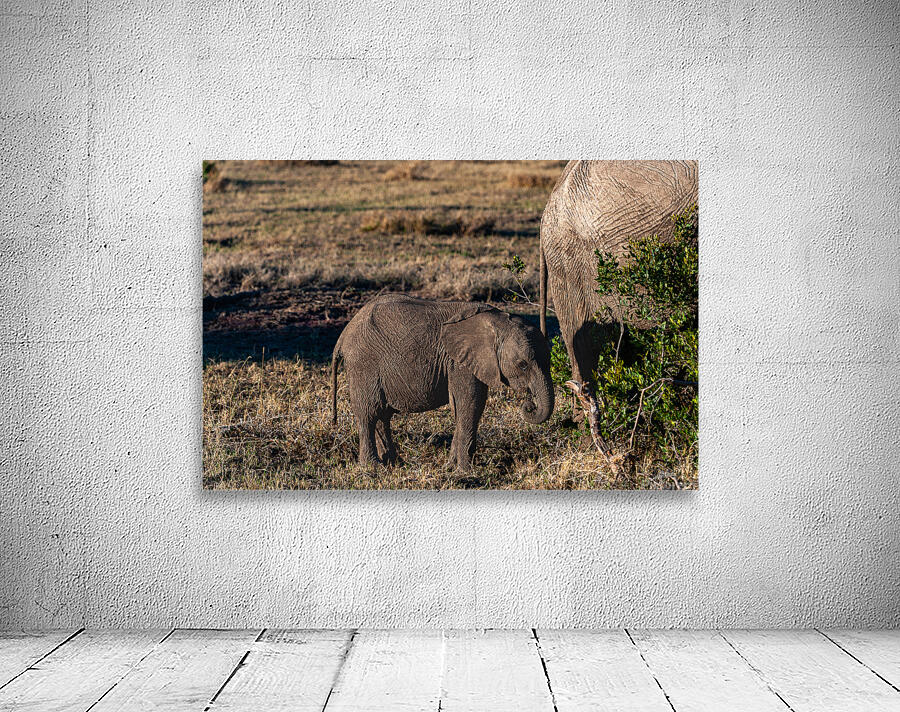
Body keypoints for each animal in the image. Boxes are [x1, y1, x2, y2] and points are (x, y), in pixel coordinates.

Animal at [331, 293, 554, 471]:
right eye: (523, 365)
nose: (529, 405)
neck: (497, 322)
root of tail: (343, 336)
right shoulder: (458, 362)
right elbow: (469, 404)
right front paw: (465, 471)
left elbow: (467, 407)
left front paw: (451, 466)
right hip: (363, 365)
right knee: (368, 414)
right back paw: (372, 468)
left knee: (381, 416)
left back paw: (394, 464)